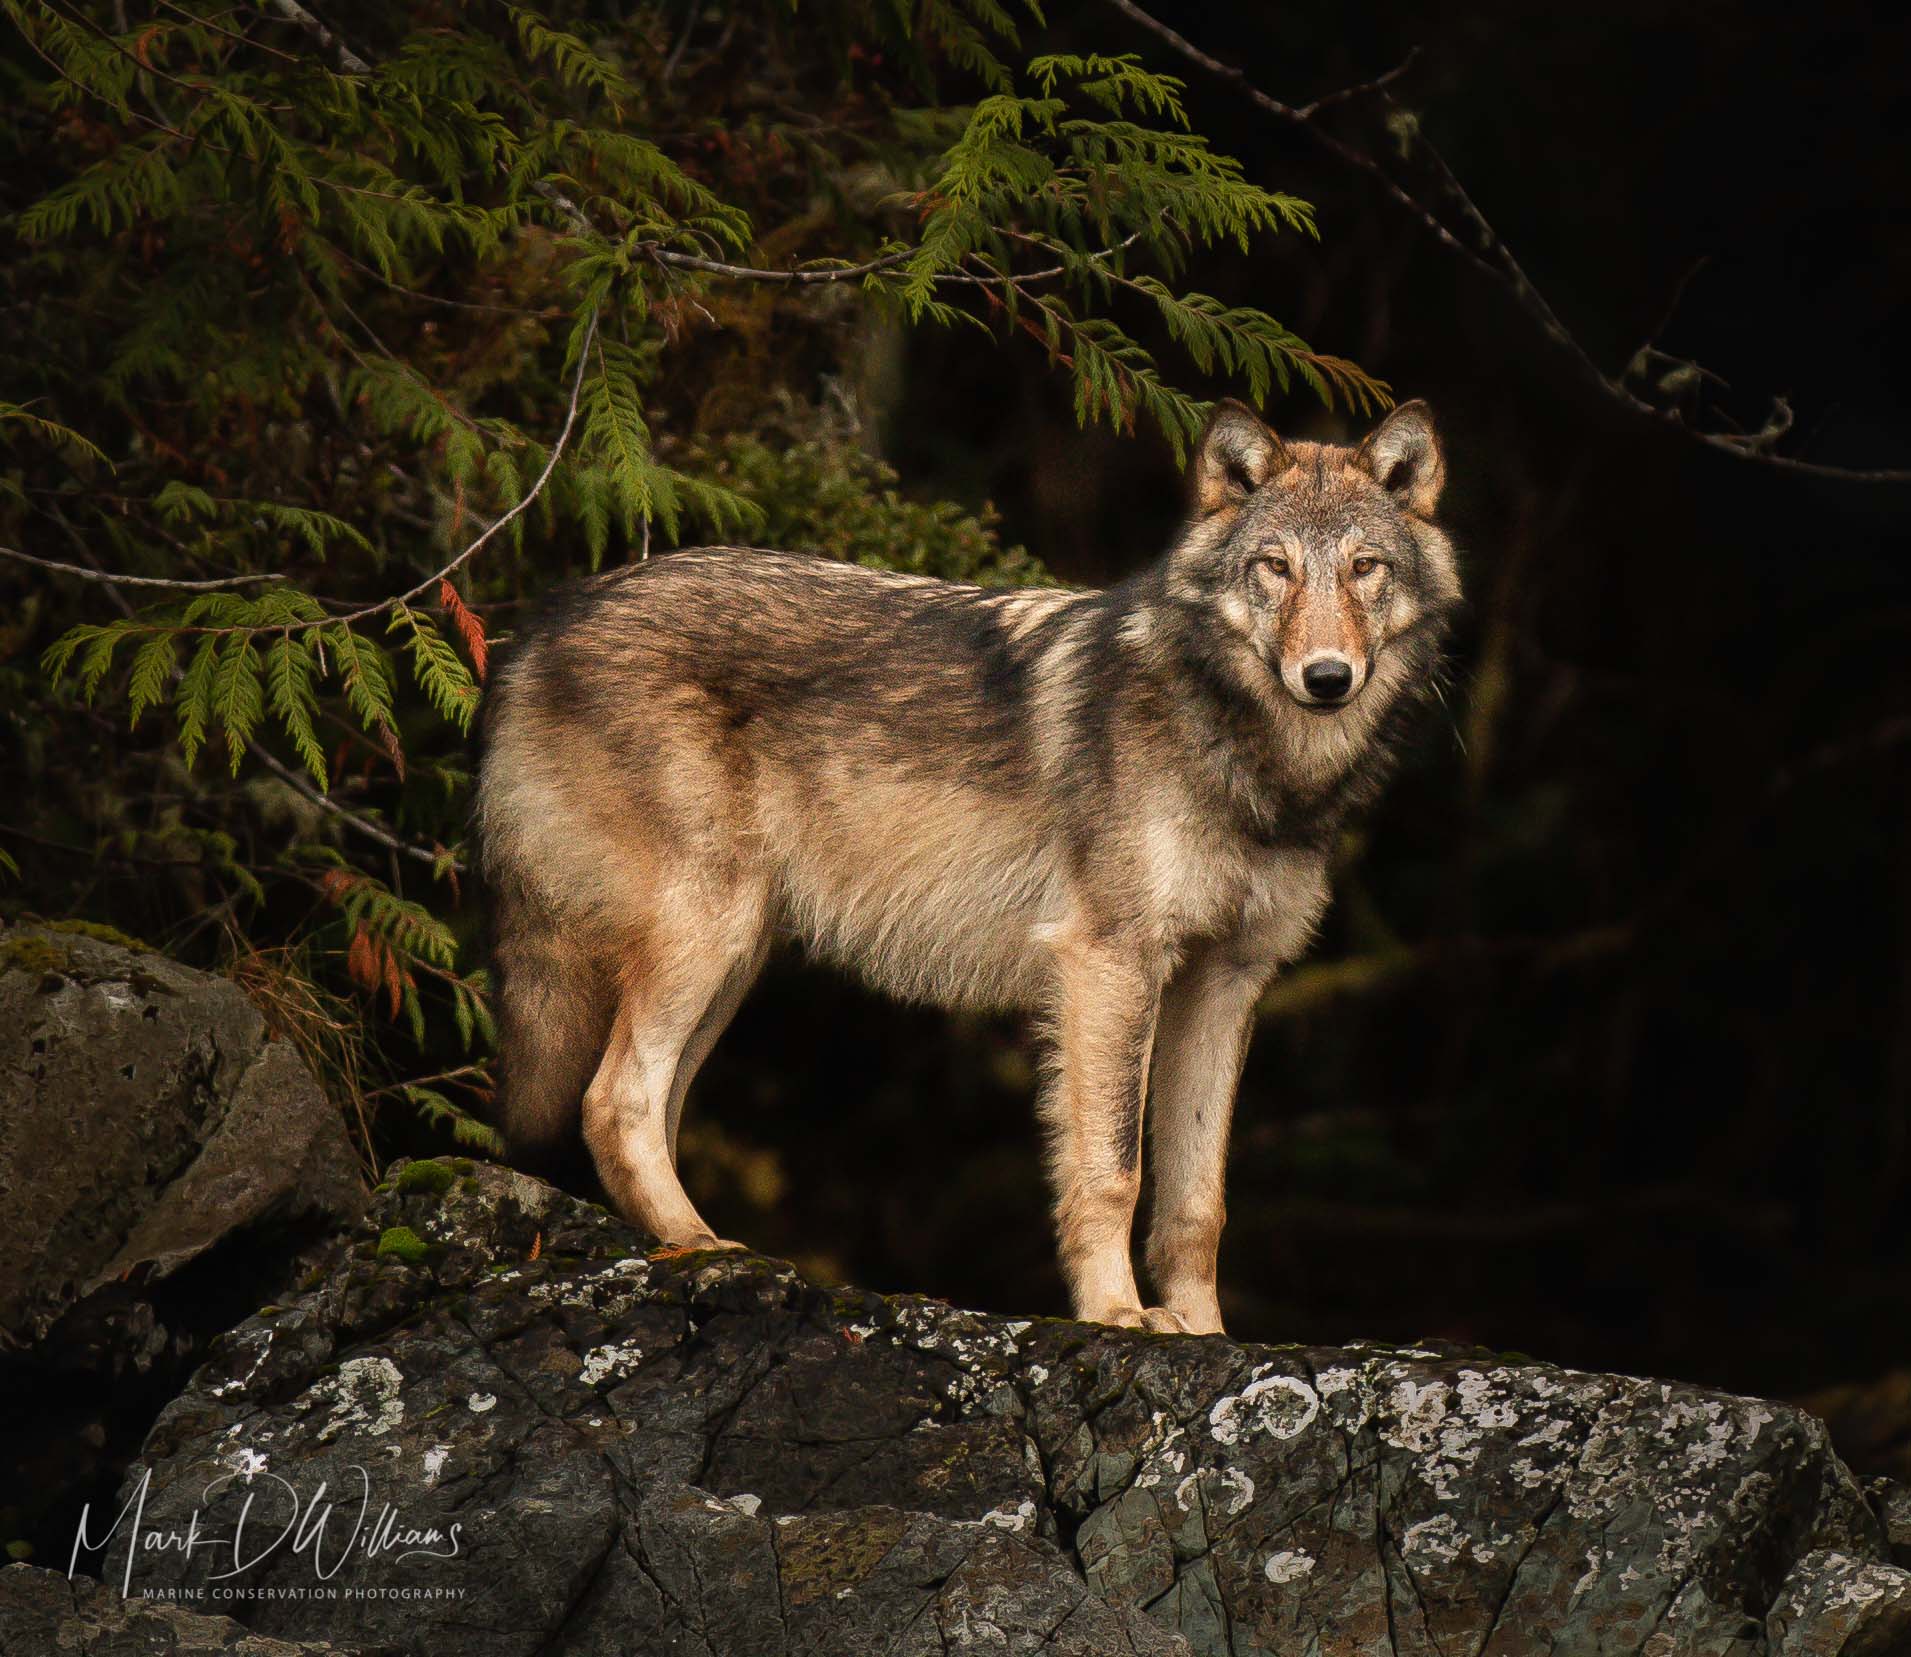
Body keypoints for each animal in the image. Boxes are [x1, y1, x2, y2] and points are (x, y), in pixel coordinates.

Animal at [476, 398, 1459, 1335]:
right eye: (1274, 567)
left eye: (1364, 567)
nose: (1326, 676)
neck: (1250, 761)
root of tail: (542, 622)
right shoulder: (1110, 962)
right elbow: (1112, 1171)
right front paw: (1118, 1314)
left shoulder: (1225, 981)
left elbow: (1196, 1205)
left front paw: (1206, 1333)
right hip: (704, 934)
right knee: (613, 1100)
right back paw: (704, 1247)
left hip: (734, 959)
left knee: (649, 1104)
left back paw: (683, 1243)